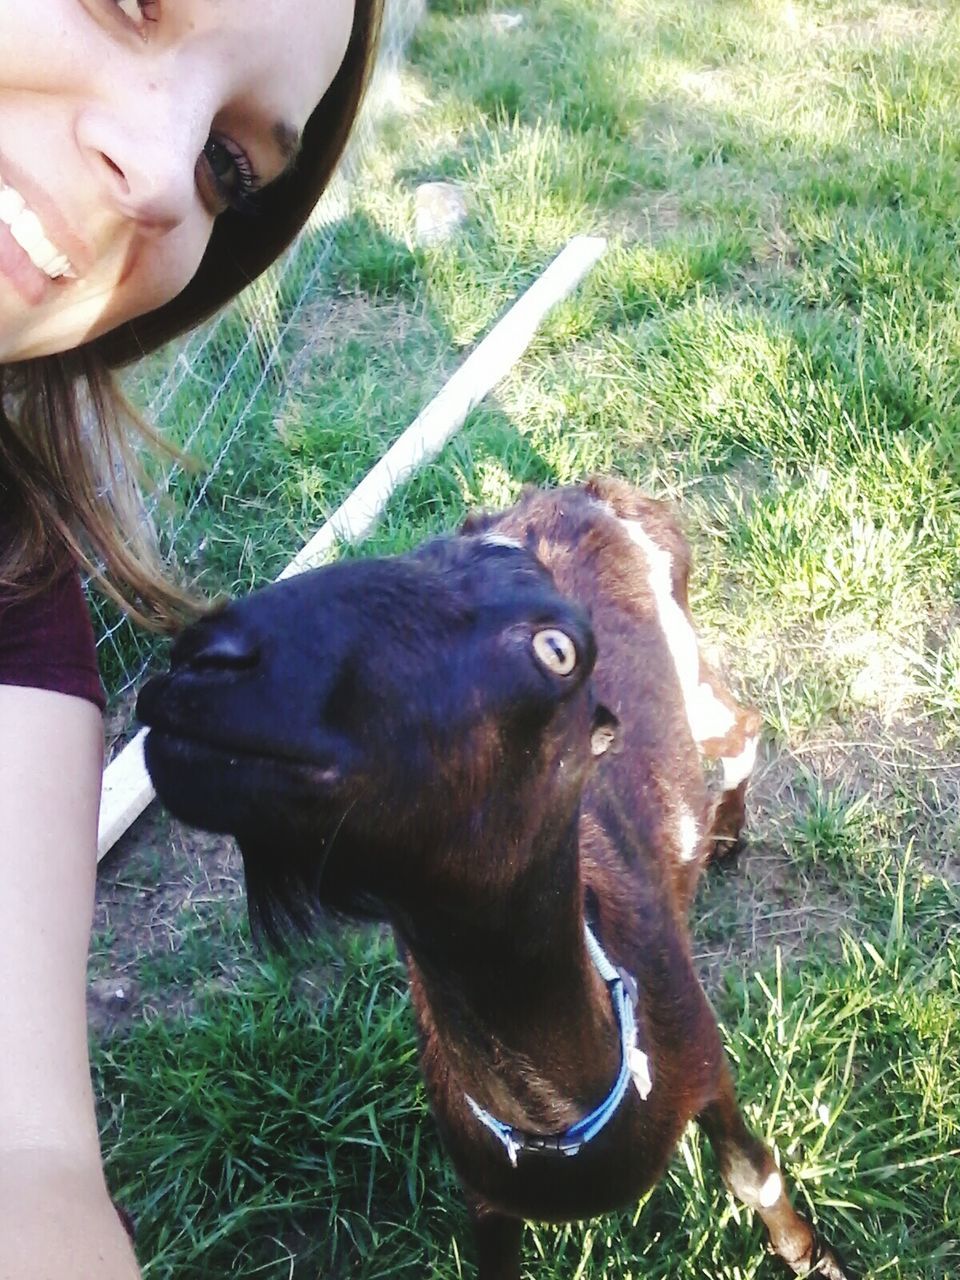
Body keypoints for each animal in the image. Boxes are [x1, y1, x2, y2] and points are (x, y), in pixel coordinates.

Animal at [136, 476, 849, 1274]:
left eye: (557, 650)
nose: (207, 658)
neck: (561, 1115)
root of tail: (593, 490)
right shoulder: (485, 1196)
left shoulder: (705, 1057)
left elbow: (752, 1172)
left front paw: (810, 1255)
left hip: (691, 673)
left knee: (745, 723)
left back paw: (724, 827)